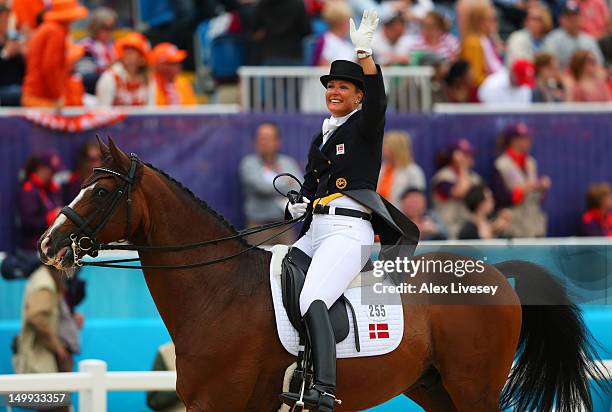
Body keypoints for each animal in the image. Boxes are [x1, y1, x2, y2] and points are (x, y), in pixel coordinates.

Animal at [39, 139, 608, 412]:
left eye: (101, 191)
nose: (49, 245)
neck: (219, 292)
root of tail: (494, 270)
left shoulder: (222, 404)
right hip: (434, 387)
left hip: (474, 387)